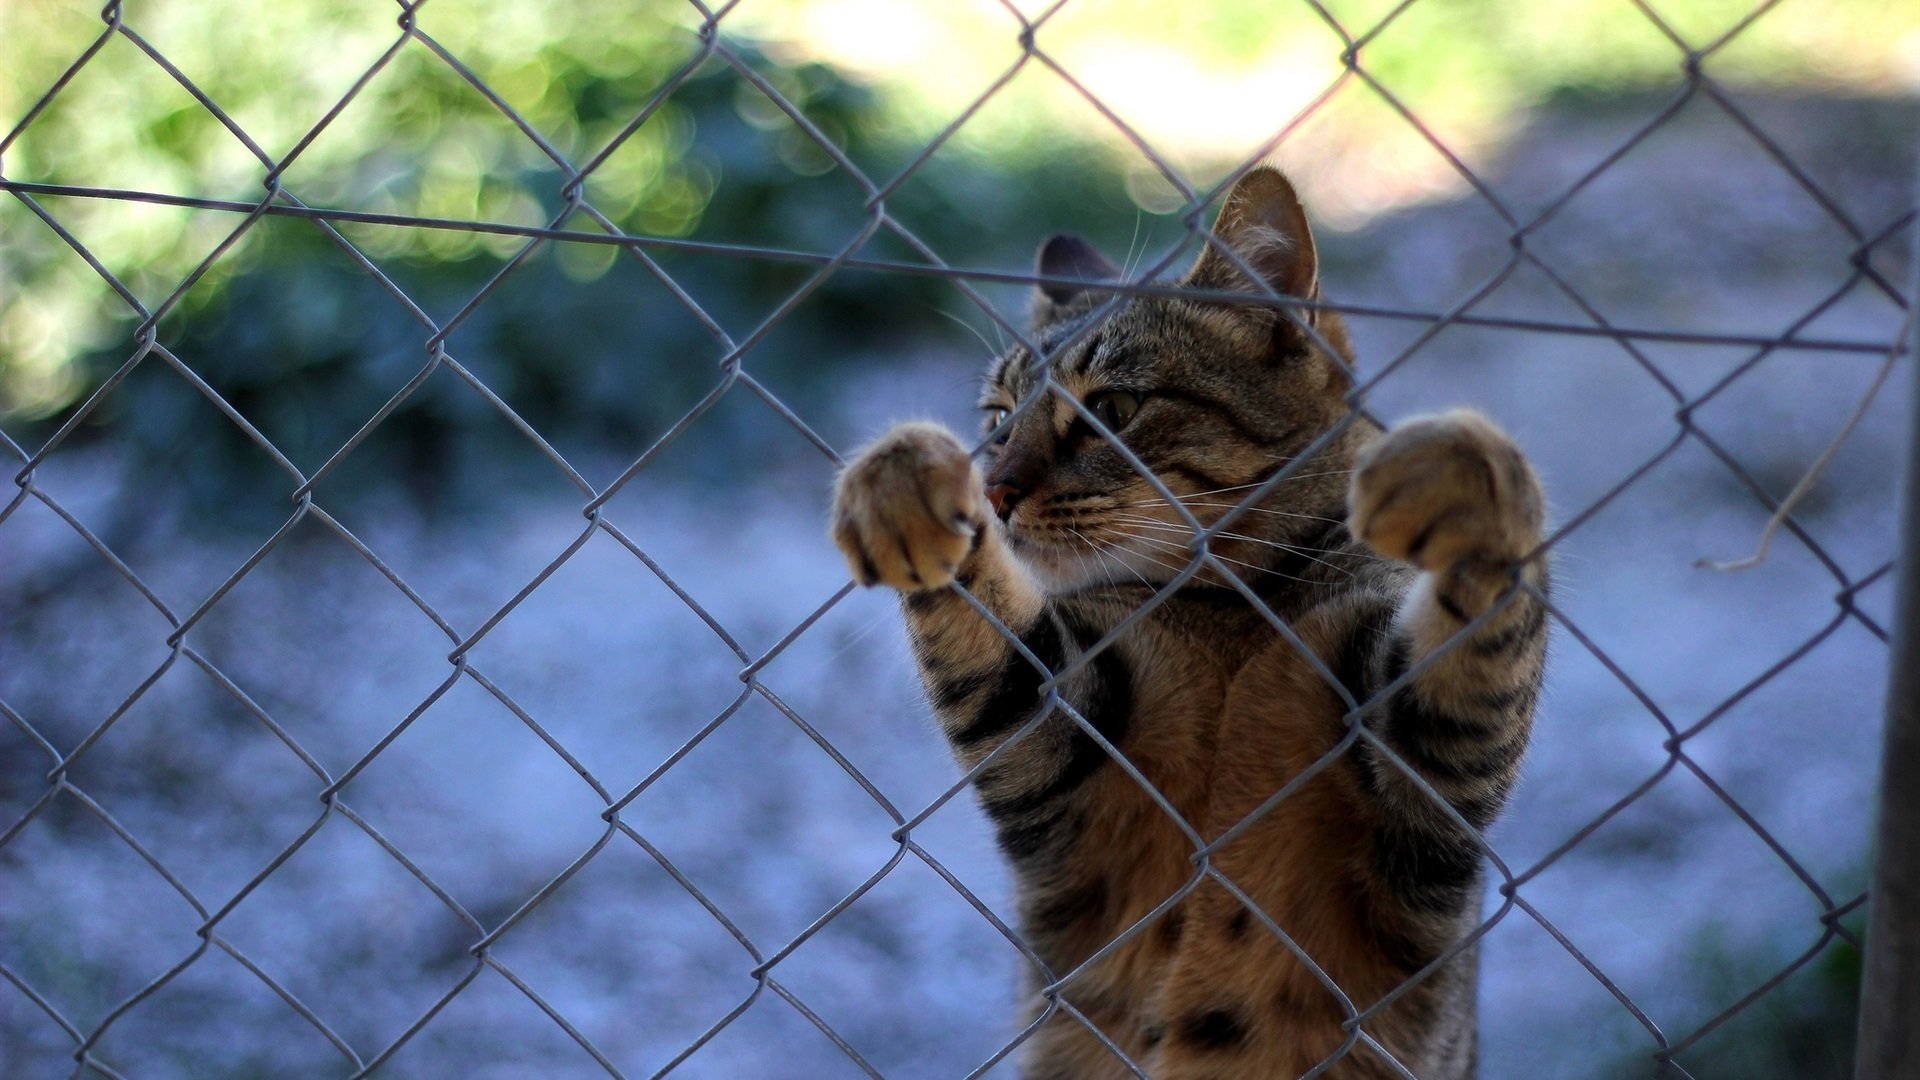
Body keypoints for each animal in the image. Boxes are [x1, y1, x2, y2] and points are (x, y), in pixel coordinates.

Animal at [825, 164, 1543, 1068]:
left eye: (1113, 408)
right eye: (996, 419)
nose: (994, 488)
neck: (1229, 610)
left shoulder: (1426, 764)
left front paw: (1468, 473)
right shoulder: (1053, 733)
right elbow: (986, 644)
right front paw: (901, 483)